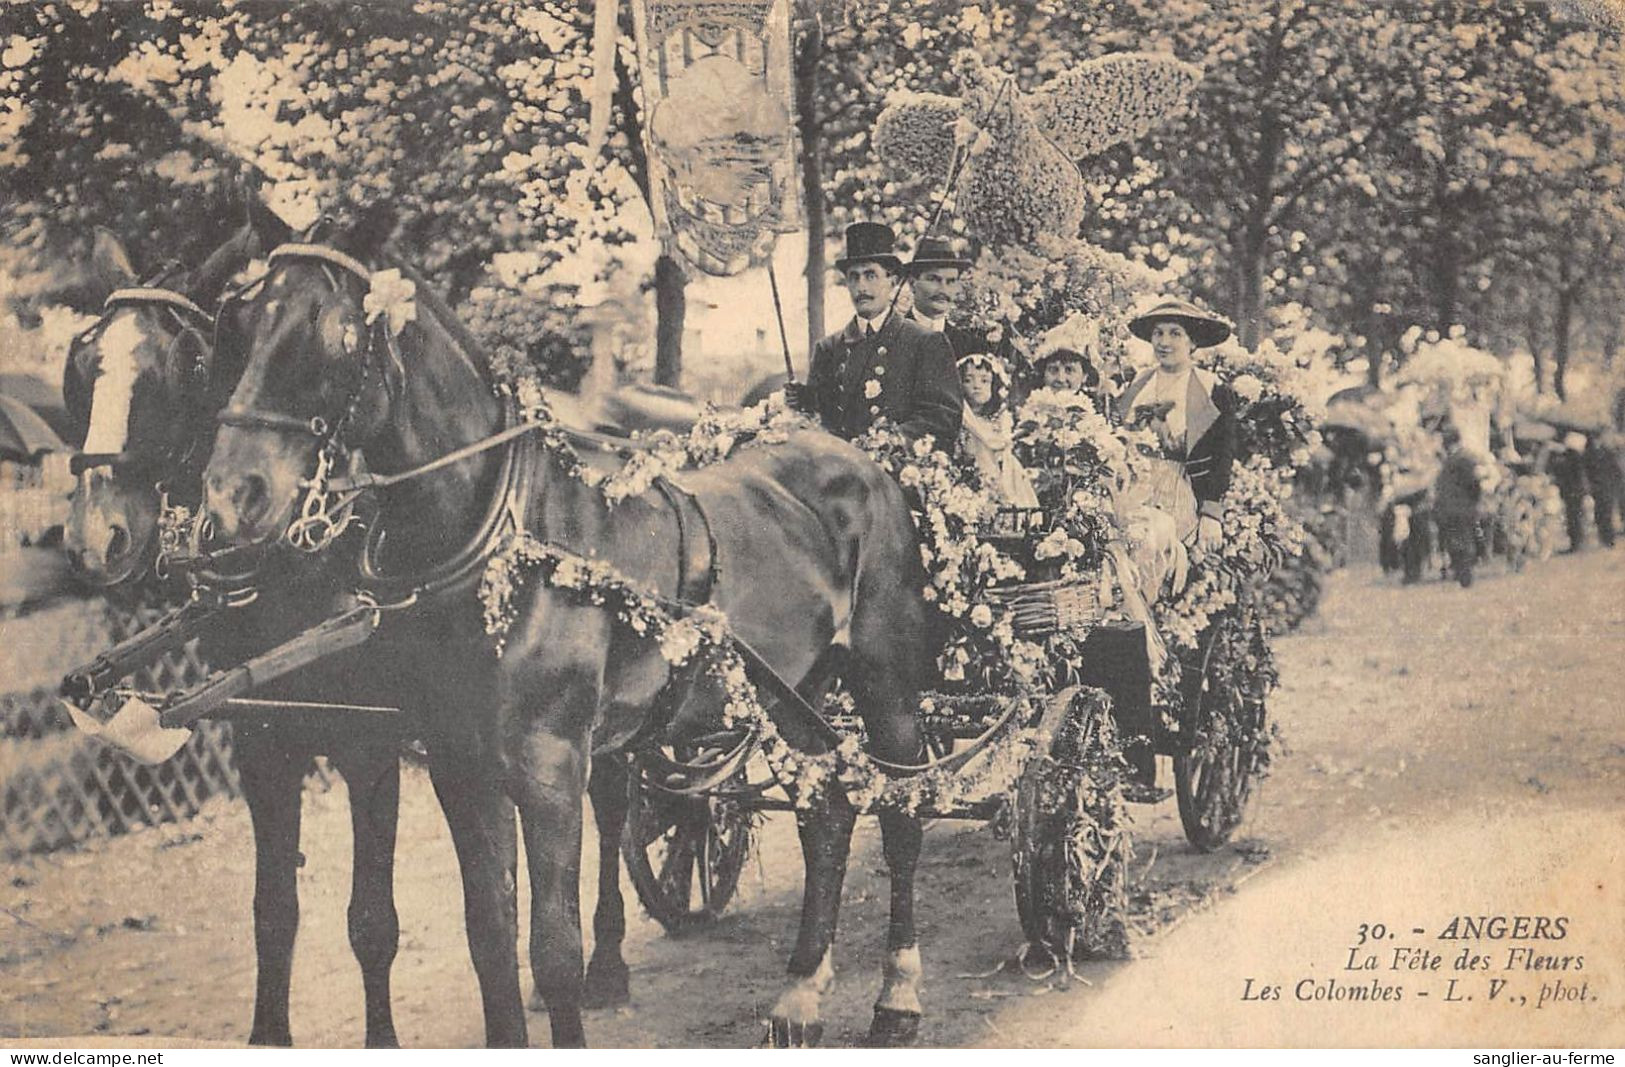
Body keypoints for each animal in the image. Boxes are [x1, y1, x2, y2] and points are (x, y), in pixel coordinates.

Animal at [60, 220, 409, 1045]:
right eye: (83, 364)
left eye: (183, 363)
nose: (94, 539)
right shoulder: (261, 739)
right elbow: (273, 910)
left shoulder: (371, 741)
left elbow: (372, 920)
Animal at [199, 212, 942, 1045]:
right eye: (239, 323)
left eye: (334, 330)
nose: (230, 497)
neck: (508, 535)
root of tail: (862, 458)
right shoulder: (461, 765)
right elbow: (490, 937)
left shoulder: (549, 765)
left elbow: (554, 948)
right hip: (792, 695)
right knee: (826, 813)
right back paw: (800, 992)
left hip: (885, 681)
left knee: (901, 811)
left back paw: (896, 996)